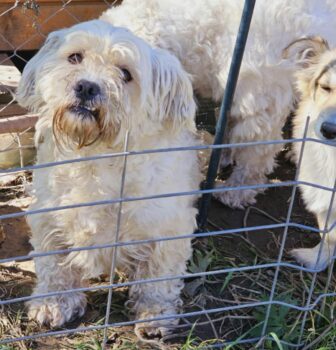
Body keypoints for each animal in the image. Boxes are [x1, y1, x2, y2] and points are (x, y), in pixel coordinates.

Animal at [15, 19, 201, 340]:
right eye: (75, 57)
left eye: (125, 74)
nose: (86, 86)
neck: (97, 156)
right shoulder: (49, 216)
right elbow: (54, 264)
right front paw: (54, 303)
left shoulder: (168, 226)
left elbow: (159, 275)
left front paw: (155, 314)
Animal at [100, 0, 336, 208]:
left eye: (125, 74)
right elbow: (228, 129)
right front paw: (221, 156)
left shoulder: (260, 103)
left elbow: (255, 155)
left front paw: (237, 191)